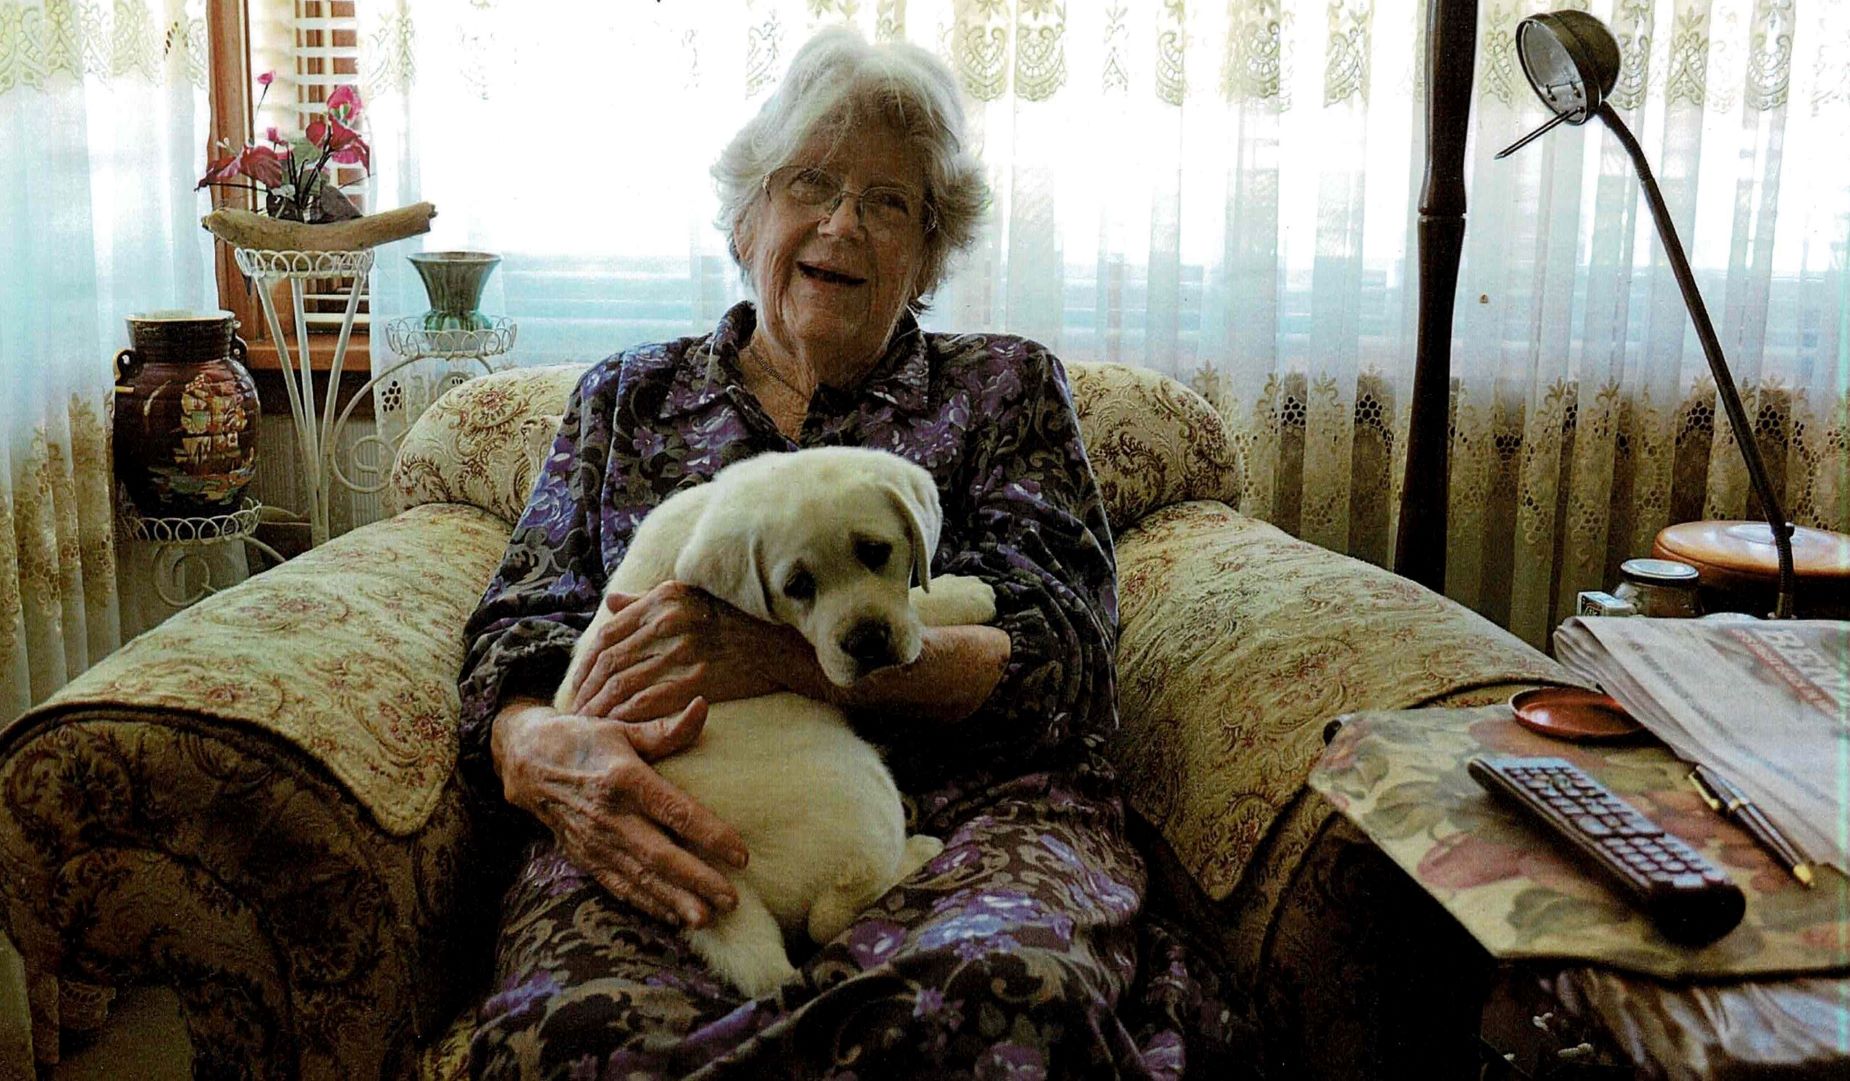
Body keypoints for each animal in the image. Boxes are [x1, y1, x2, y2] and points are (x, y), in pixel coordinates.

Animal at [555, 444, 999, 992]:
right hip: (860, 789)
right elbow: (918, 608)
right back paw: (918, 851)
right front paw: (965, 594)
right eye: (798, 586)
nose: (867, 643)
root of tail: (727, 883)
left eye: (876, 552)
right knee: (830, 914)